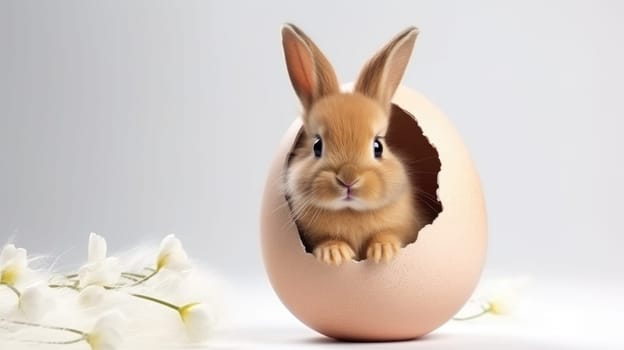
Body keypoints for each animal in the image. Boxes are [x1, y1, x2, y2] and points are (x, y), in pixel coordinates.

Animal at [282, 23, 424, 266]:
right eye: (317, 146)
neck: (351, 211)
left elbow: (387, 234)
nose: (348, 179)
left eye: (378, 147)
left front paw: (383, 251)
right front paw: (334, 254)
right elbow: (328, 240)